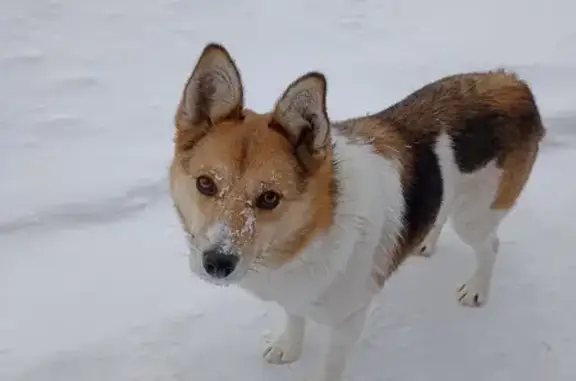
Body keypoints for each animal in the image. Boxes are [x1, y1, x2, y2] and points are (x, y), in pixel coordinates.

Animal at [169, 43, 548, 378]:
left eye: (269, 198)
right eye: (206, 184)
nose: (217, 263)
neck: (313, 233)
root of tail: (513, 83)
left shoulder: (347, 322)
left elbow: (331, 367)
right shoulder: (296, 294)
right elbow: (294, 315)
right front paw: (289, 346)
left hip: (475, 216)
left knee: (490, 246)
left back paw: (477, 288)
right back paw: (426, 240)